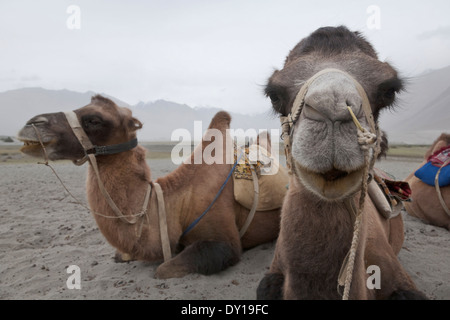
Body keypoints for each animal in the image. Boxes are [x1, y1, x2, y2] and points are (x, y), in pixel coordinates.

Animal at [17, 95, 282, 278]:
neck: (172, 203)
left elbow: (162, 269)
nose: (31, 123)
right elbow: (121, 255)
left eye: (94, 119)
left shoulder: (224, 243)